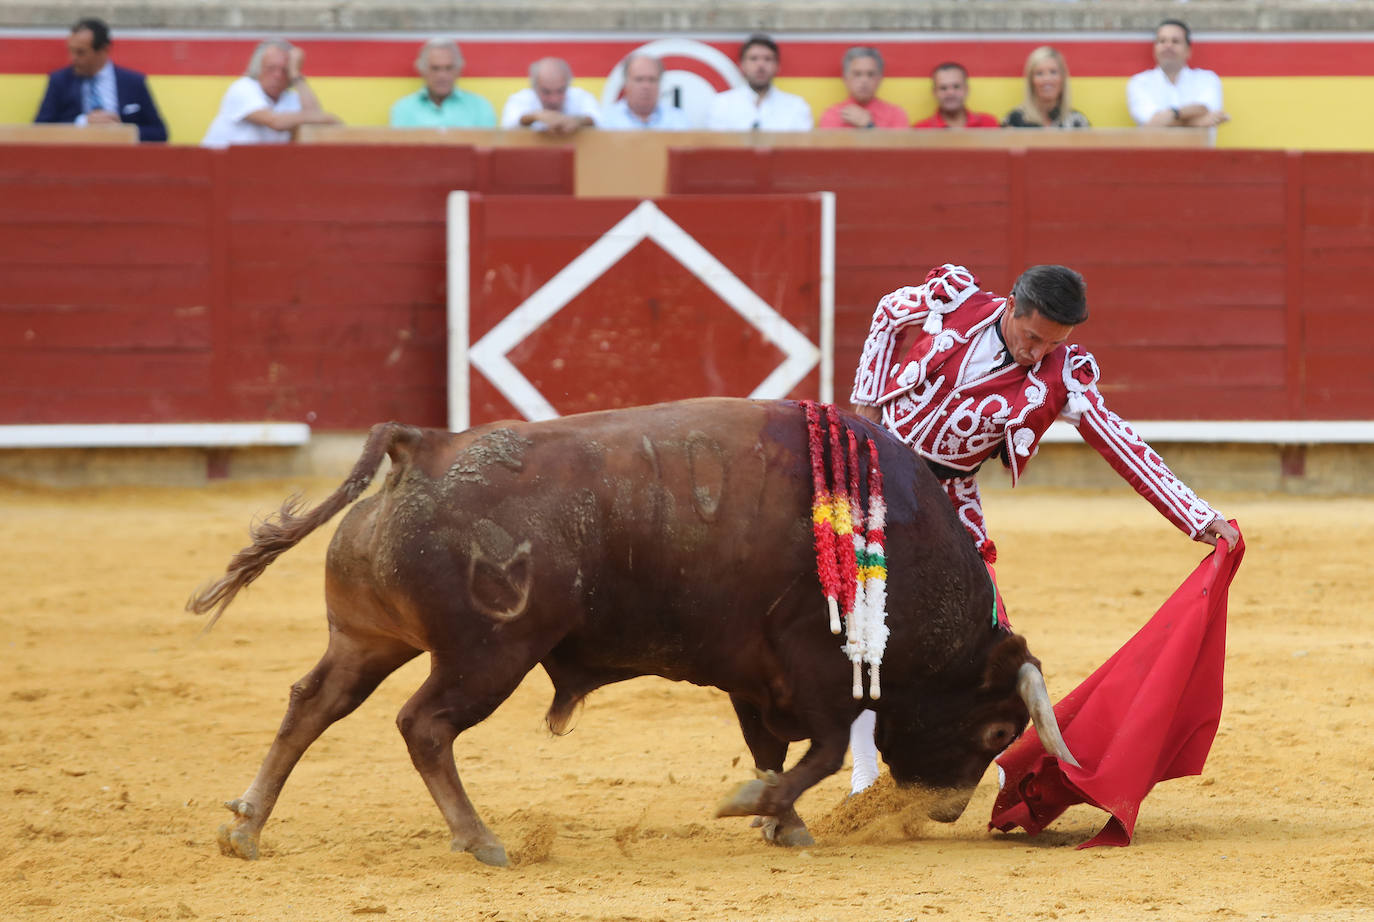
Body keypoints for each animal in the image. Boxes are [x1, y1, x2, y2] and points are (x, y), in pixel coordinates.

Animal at [190, 395, 1071, 868]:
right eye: (998, 729)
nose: (947, 812)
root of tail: (426, 448)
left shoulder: (753, 675)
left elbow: (774, 749)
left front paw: (780, 822)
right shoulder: (813, 666)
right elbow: (817, 752)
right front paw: (754, 807)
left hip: (368, 639)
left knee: (312, 703)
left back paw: (247, 825)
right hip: (489, 655)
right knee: (424, 725)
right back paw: (481, 839)